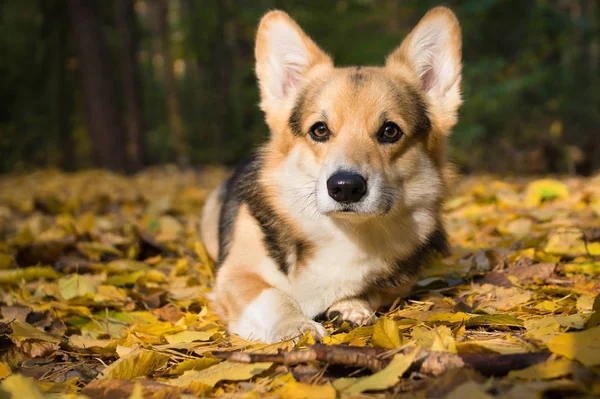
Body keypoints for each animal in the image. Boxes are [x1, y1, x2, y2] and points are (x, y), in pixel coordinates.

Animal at [199, 6, 462, 344]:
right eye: (320, 130)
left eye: (390, 131)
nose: (346, 187)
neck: (345, 232)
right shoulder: (236, 275)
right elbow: (273, 297)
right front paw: (294, 326)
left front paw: (351, 306)